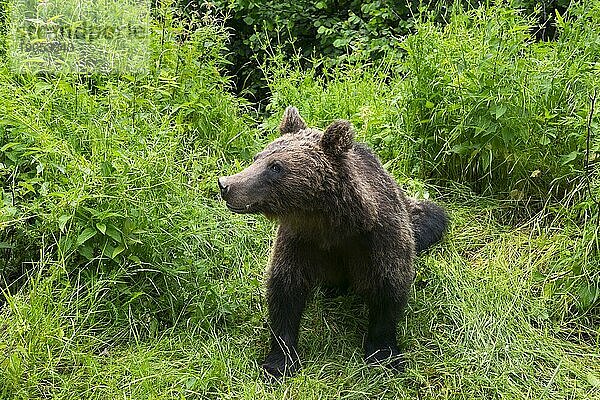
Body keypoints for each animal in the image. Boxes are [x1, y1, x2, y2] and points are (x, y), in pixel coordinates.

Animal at [218, 106, 448, 378]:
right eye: (257, 157)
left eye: (275, 167)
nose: (226, 184)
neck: (331, 223)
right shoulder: (300, 241)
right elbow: (284, 291)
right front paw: (279, 362)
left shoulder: (377, 240)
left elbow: (387, 288)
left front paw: (383, 355)